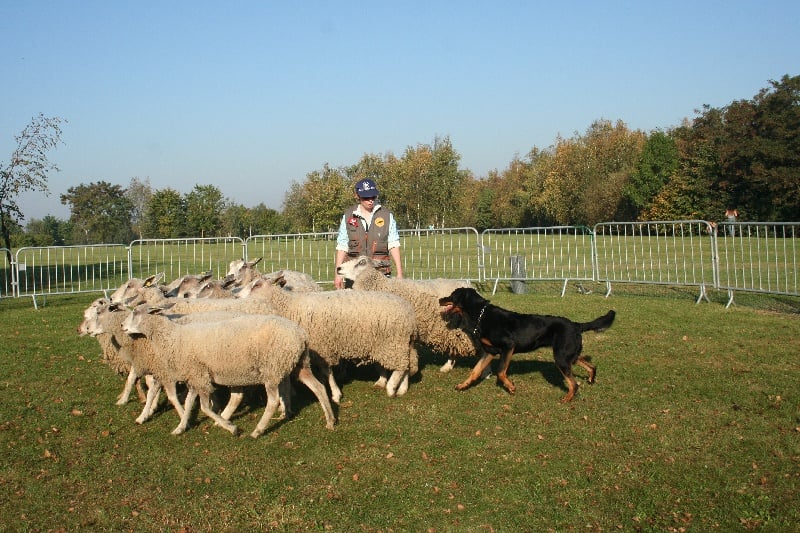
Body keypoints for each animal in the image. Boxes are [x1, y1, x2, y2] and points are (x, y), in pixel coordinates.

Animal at [123, 304, 336, 436]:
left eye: (135, 311)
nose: (123, 327)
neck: (173, 337)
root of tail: (301, 335)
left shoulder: (199, 376)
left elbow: (204, 407)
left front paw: (231, 428)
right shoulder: (196, 376)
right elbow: (191, 403)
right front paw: (181, 426)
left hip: (271, 369)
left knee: (273, 400)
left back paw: (257, 430)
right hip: (298, 364)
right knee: (318, 387)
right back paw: (330, 419)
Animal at [236, 274, 418, 400]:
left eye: (257, 285)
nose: (236, 296)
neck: (289, 306)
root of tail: (409, 312)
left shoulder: (322, 348)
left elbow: (327, 372)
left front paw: (336, 394)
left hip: (392, 343)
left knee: (401, 367)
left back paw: (391, 388)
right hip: (402, 344)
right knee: (407, 365)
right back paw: (402, 389)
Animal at [440, 288, 616, 402]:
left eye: (452, 295)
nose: (440, 299)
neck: (481, 314)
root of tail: (576, 325)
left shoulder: (508, 347)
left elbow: (501, 372)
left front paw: (511, 387)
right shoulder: (490, 352)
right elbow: (475, 372)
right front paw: (463, 385)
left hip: (561, 357)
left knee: (573, 384)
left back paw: (566, 399)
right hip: (568, 355)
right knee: (590, 366)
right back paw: (591, 379)